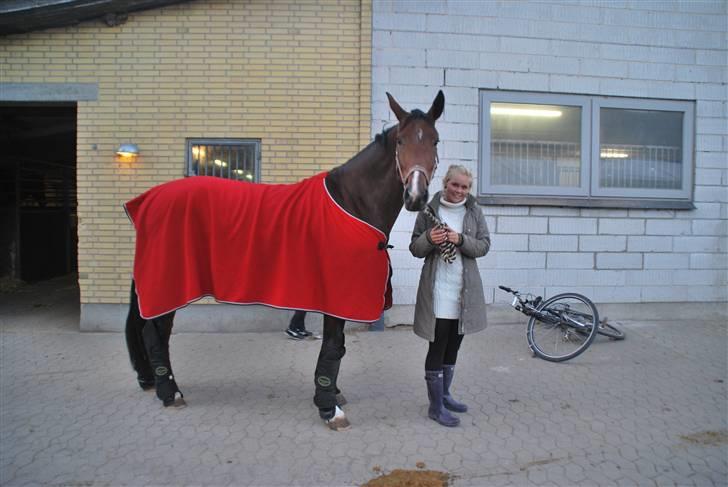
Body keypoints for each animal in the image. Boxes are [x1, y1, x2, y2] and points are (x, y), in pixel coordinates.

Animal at [125, 91, 444, 430]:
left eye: (434, 141)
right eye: (401, 141)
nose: (415, 196)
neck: (351, 203)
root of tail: (148, 201)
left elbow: (338, 347)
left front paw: (332, 394)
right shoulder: (336, 297)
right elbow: (334, 346)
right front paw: (329, 407)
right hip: (170, 286)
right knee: (154, 334)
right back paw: (170, 393)